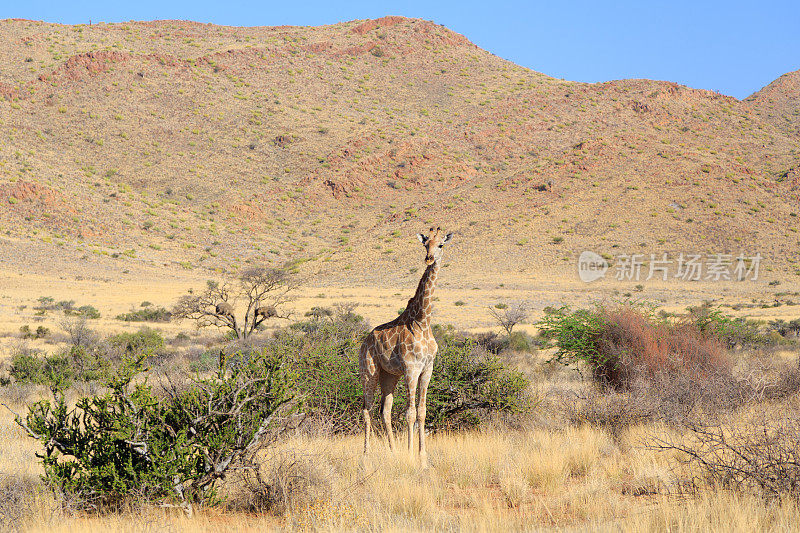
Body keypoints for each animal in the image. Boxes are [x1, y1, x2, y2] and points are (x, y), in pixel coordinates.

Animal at [360, 224, 454, 466]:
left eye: (441, 244)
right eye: (425, 243)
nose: (429, 258)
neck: (422, 320)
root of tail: (364, 340)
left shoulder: (427, 369)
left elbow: (421, 411)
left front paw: (423, 457)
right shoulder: (411, 368)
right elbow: (410, 413)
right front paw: (411, 455)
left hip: (389, 375)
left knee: (384, 410)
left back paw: (393, 452)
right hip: (369, 371)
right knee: (367, 409)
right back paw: (366, 454)